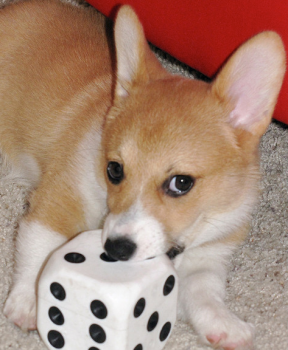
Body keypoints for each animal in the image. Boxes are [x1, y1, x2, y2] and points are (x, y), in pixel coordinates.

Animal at [1, 0, 284, 350]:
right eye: (114, 169)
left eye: (181, 183)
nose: (116, 250)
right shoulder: (58, 201)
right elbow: (39, 249)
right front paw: (29, 301)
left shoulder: (209, 255)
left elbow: (204, 293)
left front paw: (225, 325)